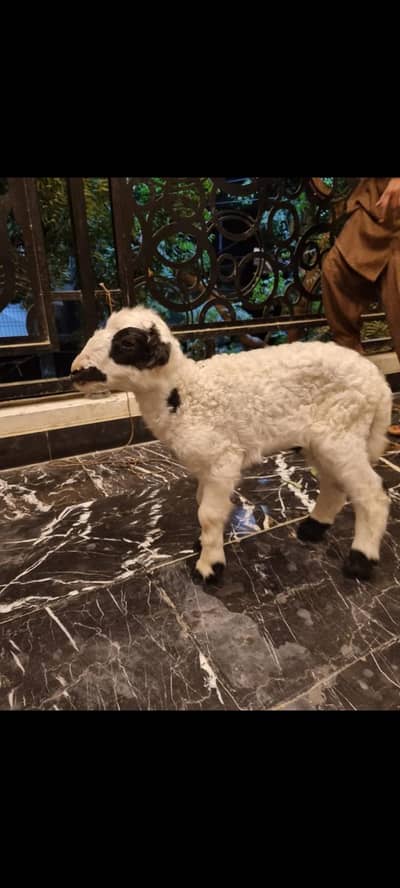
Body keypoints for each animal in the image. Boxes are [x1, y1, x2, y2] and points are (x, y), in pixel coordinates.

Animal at [71, 306, 392, 584]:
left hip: (343, 431)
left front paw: (209, 567)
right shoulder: (205, 466)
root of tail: (379, 383)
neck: (184, 392)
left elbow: (209, 514)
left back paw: (360, 561)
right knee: (334, 485)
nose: (75, 371)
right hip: (321, 440)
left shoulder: (222, 460)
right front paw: (202, 544)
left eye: (126, 343)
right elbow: (201, 503)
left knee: (371, 495)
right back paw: (313, 528)